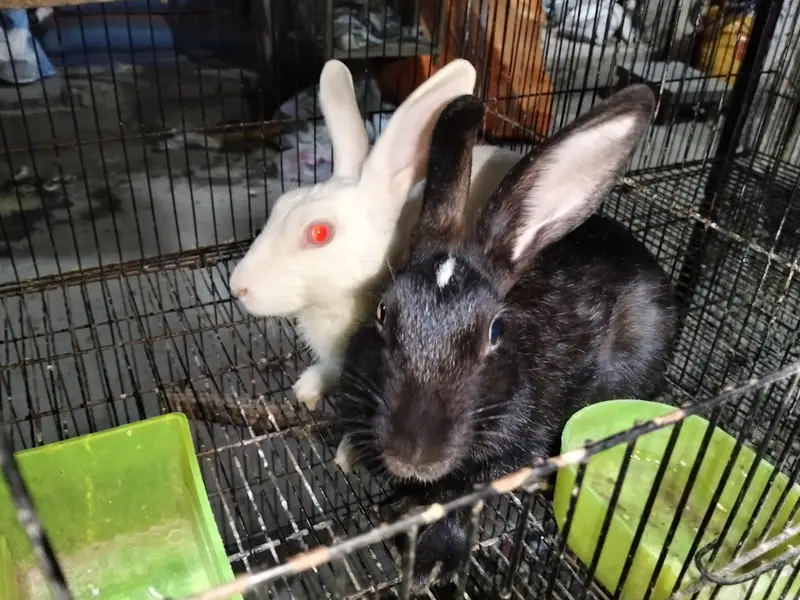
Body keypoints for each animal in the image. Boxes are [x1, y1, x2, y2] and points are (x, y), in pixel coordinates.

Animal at [335, 87, 678, 594]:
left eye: (495, 331)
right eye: (381, 311)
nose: (414, 455)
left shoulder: (518, 438)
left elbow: (468, 492)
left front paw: (428, 560)